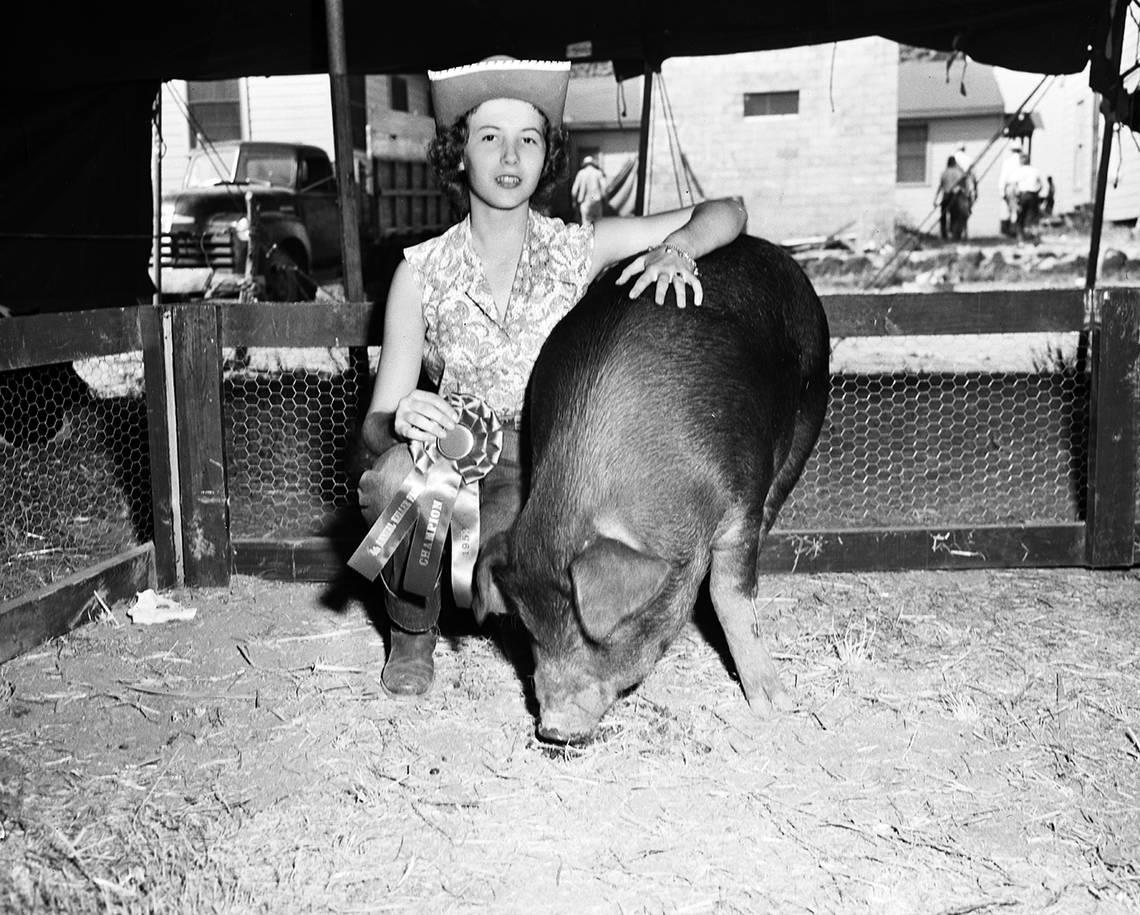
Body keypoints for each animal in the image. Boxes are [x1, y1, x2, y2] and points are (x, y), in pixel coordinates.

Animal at [471, 235, 829, 742]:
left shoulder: (739, 500)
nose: (554, 728)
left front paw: (773, 706)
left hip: (812, 400)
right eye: (530, 630)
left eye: (596, 634)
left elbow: (728, 596)